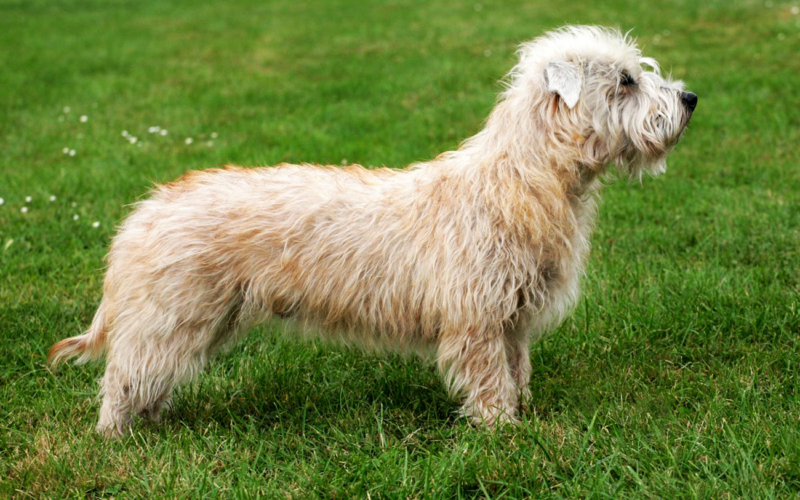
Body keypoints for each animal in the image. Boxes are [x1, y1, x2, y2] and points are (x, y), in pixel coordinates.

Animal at [51, 25, 700, 436]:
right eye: (625, 81)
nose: (691, 97)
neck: (522, 180)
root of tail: (146, 211)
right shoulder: (477, 319)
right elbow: (489, 378)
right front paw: (502, 431)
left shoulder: (511, 318)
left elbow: (517, 370)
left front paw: (523, 414)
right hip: (173, 317)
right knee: (124, 376)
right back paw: (116, 439)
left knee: (143, 375)